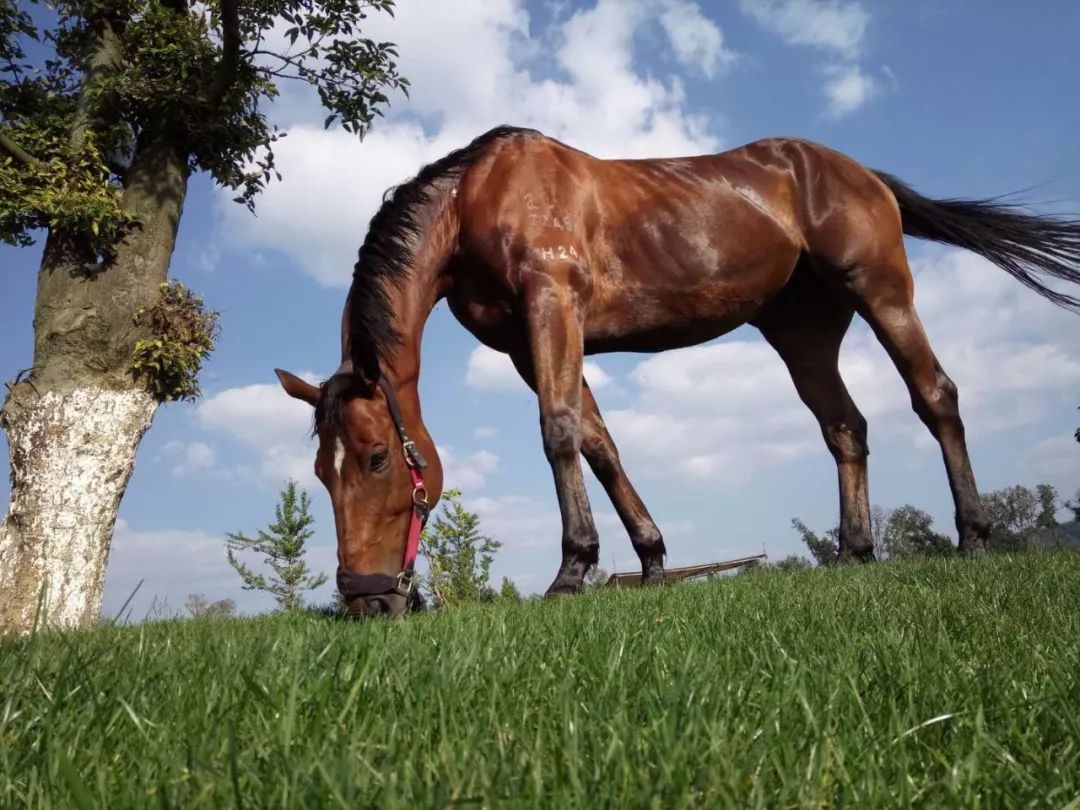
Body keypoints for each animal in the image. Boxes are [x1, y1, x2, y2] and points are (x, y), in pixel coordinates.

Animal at [274, 126, 1080, 617]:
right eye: (319, 473)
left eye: (377, 458)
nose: (366, 600)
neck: (479, 197)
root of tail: (858, 172)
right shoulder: (529, 344)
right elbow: (599, 443)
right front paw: (652, 560)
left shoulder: (552, 306)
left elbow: (559, 432)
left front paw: (571, 572)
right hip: (803, 334)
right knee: (845, 427)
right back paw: (854, 554)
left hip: (881, 290)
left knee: (934, 396)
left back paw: (973, 536)